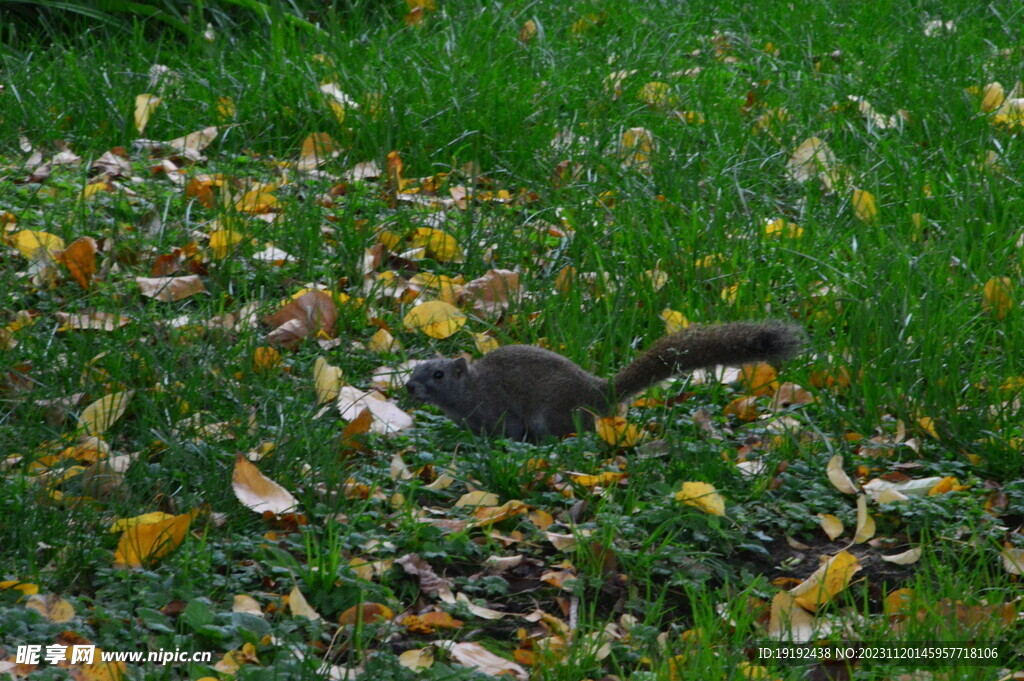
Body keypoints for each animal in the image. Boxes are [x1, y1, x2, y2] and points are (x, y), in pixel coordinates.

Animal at [403, 323, 802, 444]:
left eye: (438, 375)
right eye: (417, 367)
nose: (408, 386)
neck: (468, 392)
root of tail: (599, 393)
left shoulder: (499, 409)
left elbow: (508, 431)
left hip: (553, 414)